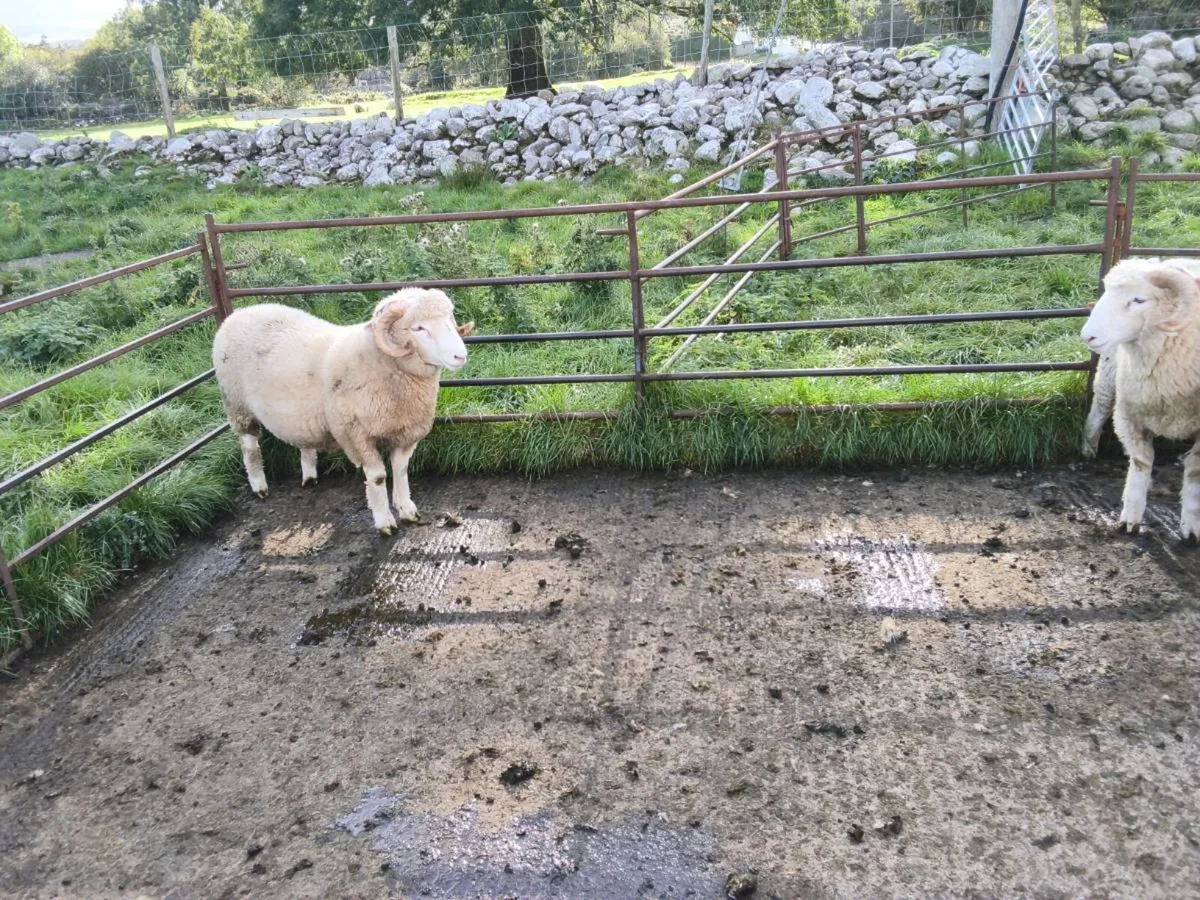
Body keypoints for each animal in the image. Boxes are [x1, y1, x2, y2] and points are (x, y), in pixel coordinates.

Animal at [212, 288, 474, 535]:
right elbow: (378, 477)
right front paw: (384, 522)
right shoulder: (357, 434)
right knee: (250, 447)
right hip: (237, 405)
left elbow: (400, 471)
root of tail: (238, 313)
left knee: (303, 443)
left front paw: (407, 510)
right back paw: (259, 486)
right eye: (418, 328)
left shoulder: (404, 431)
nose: (460, 356)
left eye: (449, 319)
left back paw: (309, 476)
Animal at [1079, 257, 1200, 540]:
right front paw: (1130, 518)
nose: (1087, 335)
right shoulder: (1128, 413)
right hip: (1109, 373)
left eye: (1139, 300)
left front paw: (1190, 526)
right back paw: (1088, 449)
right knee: (1100, 407)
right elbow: (1141, 462)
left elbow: (1194, 470)